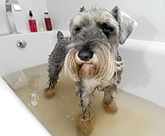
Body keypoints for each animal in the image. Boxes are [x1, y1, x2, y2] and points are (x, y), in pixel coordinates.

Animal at [43, 5, 137, 135]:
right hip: (54, 66)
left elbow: (108, 98)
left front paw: (110, 108)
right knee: (52, 81)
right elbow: (86, 111)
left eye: (107, 28)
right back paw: (49, 93)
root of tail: (60, 38)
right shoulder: (86, 90)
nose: (84, 55)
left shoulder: (111, 84)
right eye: (78, 28)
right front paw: (85, 127)